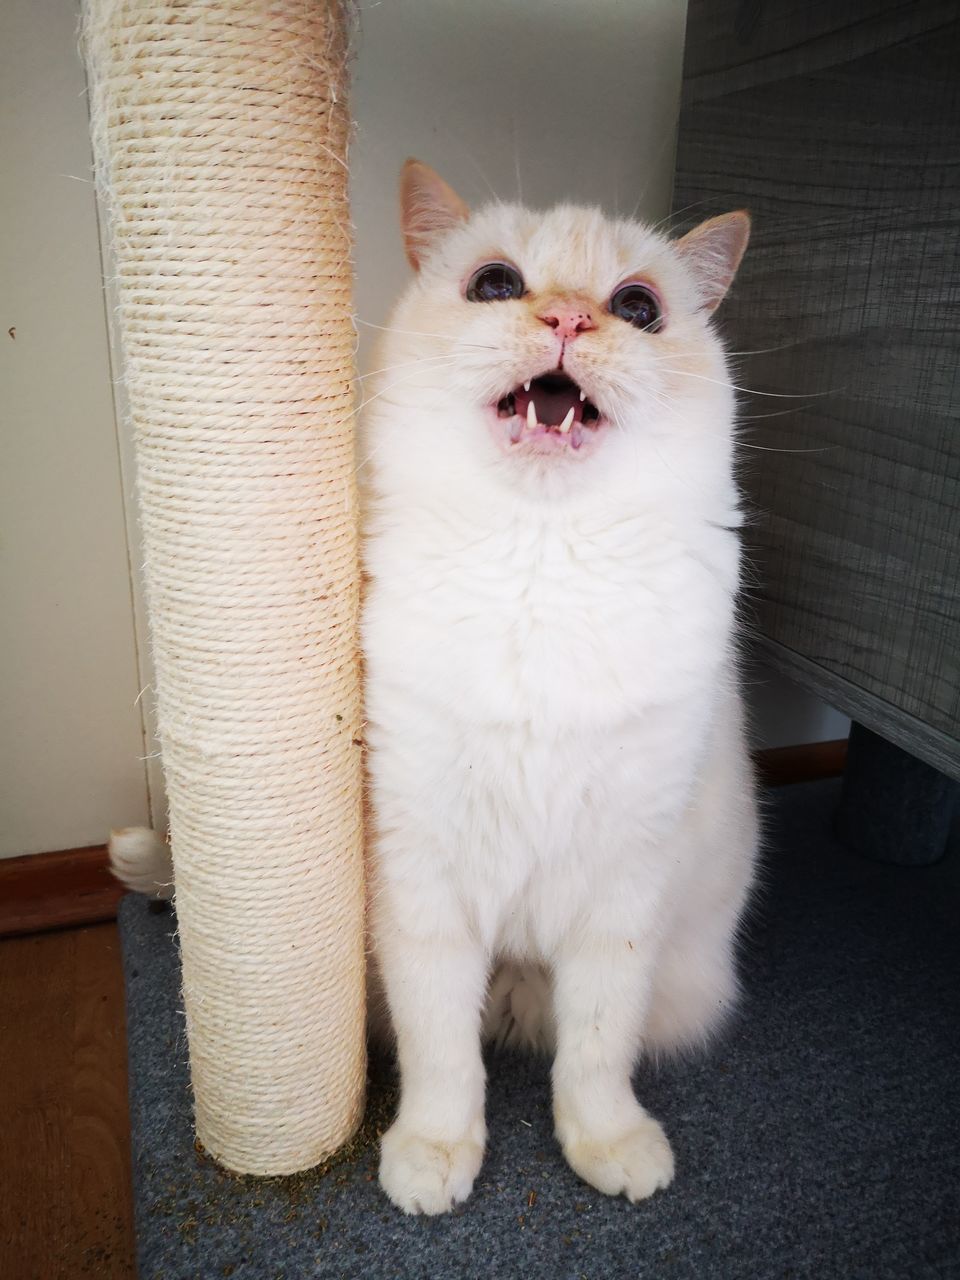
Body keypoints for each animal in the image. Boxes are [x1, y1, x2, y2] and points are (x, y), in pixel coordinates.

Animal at [360, 165, 757, 1213]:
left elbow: (595, 1052)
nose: (572, 319)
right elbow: (441, 1053)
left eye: (638, 307)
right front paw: (433, 1158)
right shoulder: (422, 877)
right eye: (496, 285)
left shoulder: (624, 886)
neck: (540, 565)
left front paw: (611, 1149)